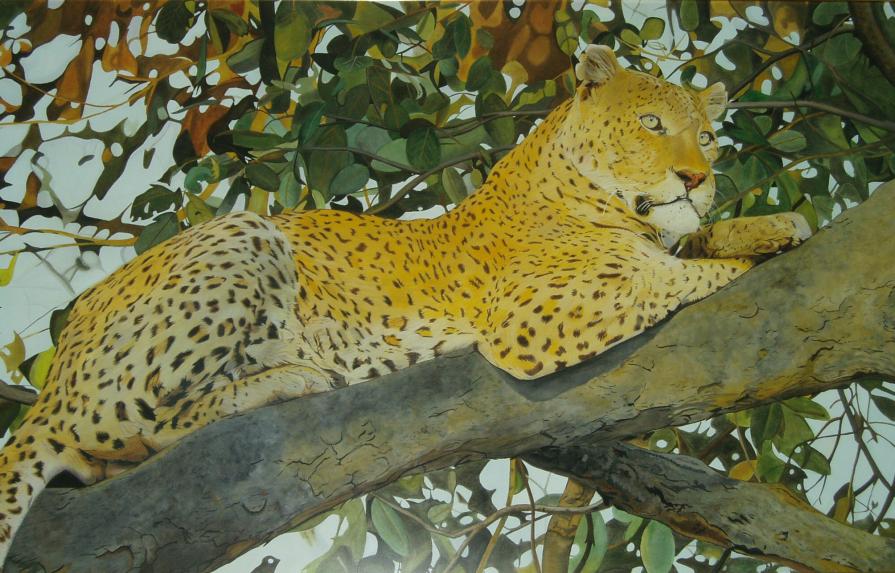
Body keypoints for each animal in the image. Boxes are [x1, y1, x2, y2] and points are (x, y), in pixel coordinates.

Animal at [0, 45, 810, 566]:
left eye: (706, 134)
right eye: (650, 125)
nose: (697, 176)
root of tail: (53, 373)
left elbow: (688, 244)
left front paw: (770, 223)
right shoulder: (533, 315)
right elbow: (673, 277)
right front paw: (757, 249)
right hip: (241, 236)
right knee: (142, 427)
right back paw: (289, 378)